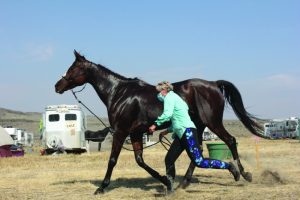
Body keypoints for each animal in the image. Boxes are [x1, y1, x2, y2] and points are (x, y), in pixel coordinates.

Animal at [54, 49, 268, 194]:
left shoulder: (121, 131)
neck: (119, 93)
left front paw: (101, 187)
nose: (57, 85)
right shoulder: (136, 133)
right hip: (198, 126)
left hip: (213, 122)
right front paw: (165, 180)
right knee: (197, 152)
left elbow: (113, 160)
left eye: (72, 68)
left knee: (230, 141)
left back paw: (243, 174)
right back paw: (184, 182)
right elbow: (140, 161)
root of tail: (213, 84)